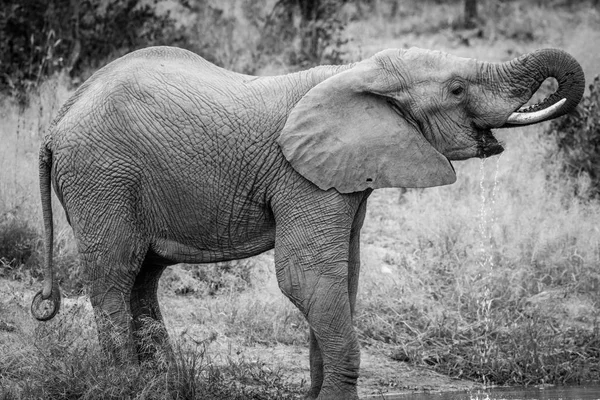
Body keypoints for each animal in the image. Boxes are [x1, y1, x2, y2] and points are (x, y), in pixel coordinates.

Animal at [30, 45, 584, 398]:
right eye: (456, 88)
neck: (358, 72)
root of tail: (57, 123)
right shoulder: (301, 176)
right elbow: (307, 277)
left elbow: (343, 278)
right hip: (102, 175)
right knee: (115, 273)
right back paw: (127, 384)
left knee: (144, 275)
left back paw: (159, 383)